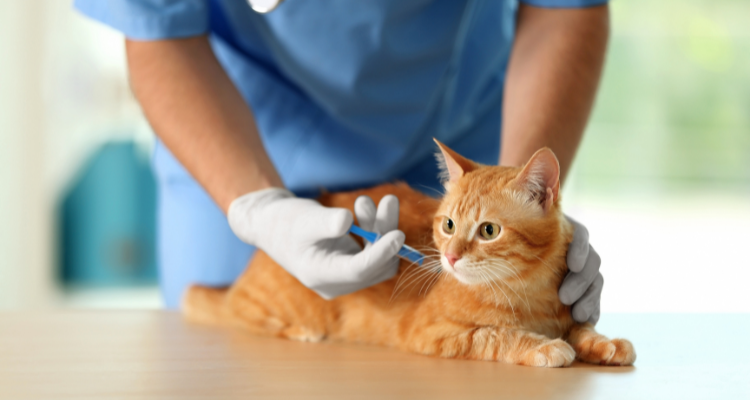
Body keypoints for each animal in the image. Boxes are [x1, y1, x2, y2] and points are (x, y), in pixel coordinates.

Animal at [182, 139, 636, 368]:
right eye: (448, 224)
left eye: (488, 231)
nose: (450, 257)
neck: (529, 295)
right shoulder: (432, 332)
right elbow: (495, 335)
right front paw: (543, 346)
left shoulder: (568, 311)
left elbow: (582, 327)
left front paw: (604, 342)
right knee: (240, 313)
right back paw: (299, 331)